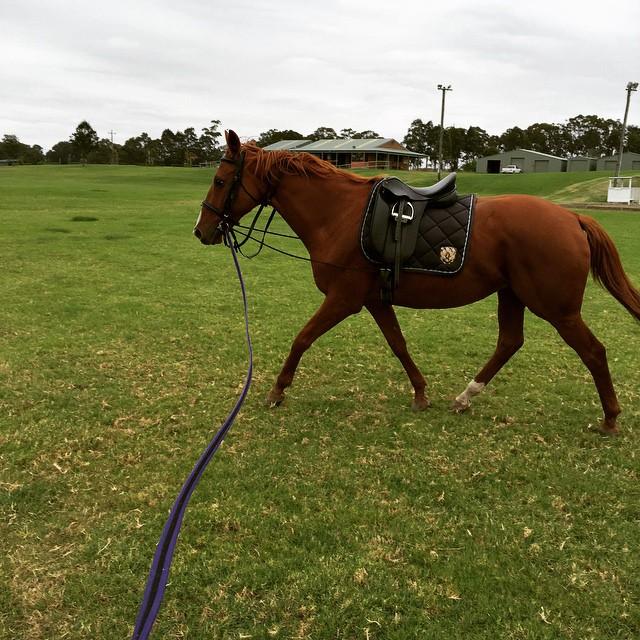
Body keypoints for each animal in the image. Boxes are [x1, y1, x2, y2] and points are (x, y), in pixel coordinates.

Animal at [194, 130, 640, 435]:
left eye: (220, 181)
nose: (202, 230)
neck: (339, 214)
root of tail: (573, 218)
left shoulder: (343, 299)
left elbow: (302, 338)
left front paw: (278, 390)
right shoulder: (374, 299)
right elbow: (398, 344)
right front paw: (421, 393)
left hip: (557, 309)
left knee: (593, 352)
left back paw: (610, 417)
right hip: (512, 295)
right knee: (510, 343)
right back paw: (465, 397)